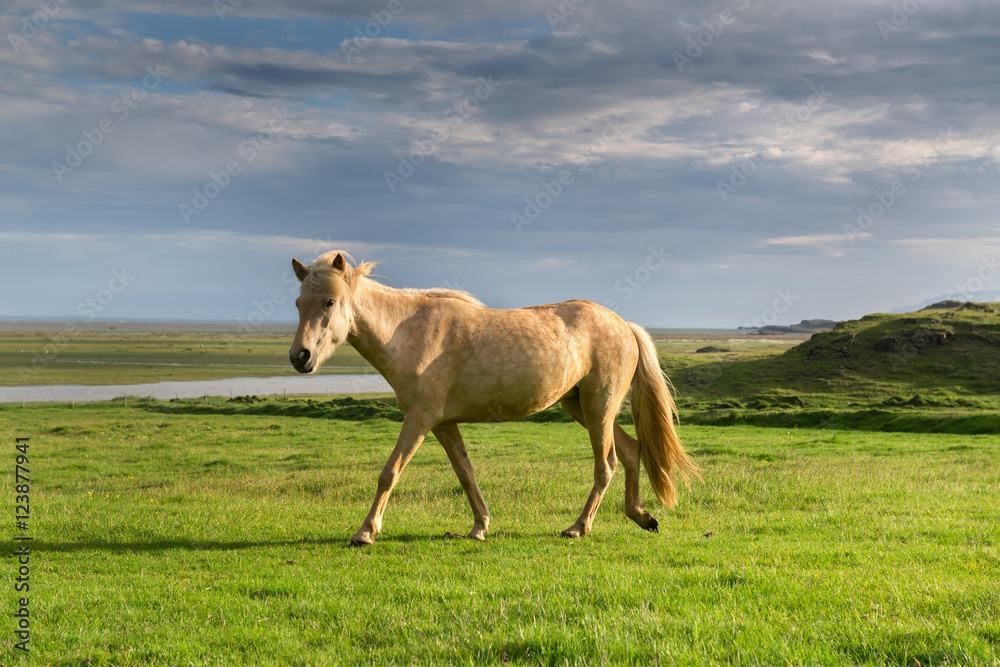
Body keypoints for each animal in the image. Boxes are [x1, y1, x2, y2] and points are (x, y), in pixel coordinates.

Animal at [288, 251, 698, 546]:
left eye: (329, 302)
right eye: (297, 303)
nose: (299, 357)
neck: (407, 332)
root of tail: (623, 325)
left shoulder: (419, 420)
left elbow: (389, 473)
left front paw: (365, 532)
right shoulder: (443, 425)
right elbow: (466, 474)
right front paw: (479, 527)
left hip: (598, 410)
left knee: (607, 464)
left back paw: (578, 527)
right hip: (583, 407)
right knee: (630, 452)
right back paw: (642, 516)